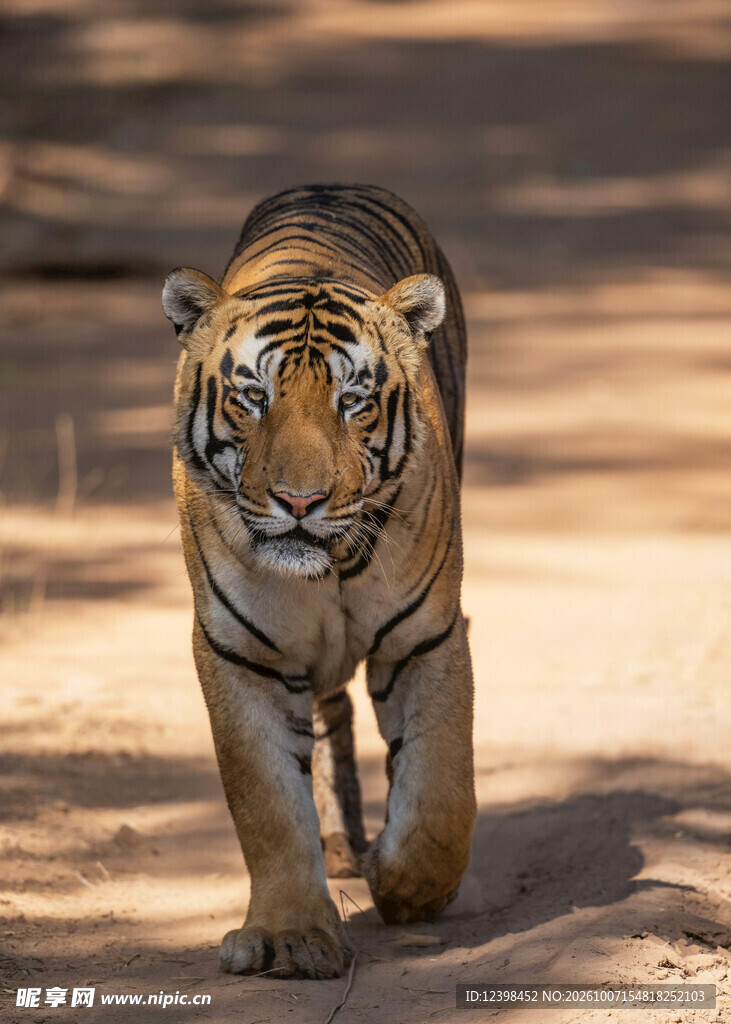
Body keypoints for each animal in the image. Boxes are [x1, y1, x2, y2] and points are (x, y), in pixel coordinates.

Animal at [162, 184, 476, 980]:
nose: (298, 502)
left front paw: (403, 887)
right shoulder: (241, 653)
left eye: (352, 401)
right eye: (252, 398)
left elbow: (441, 789)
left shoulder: (426, 638)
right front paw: (291, 936)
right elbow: (268, 805)